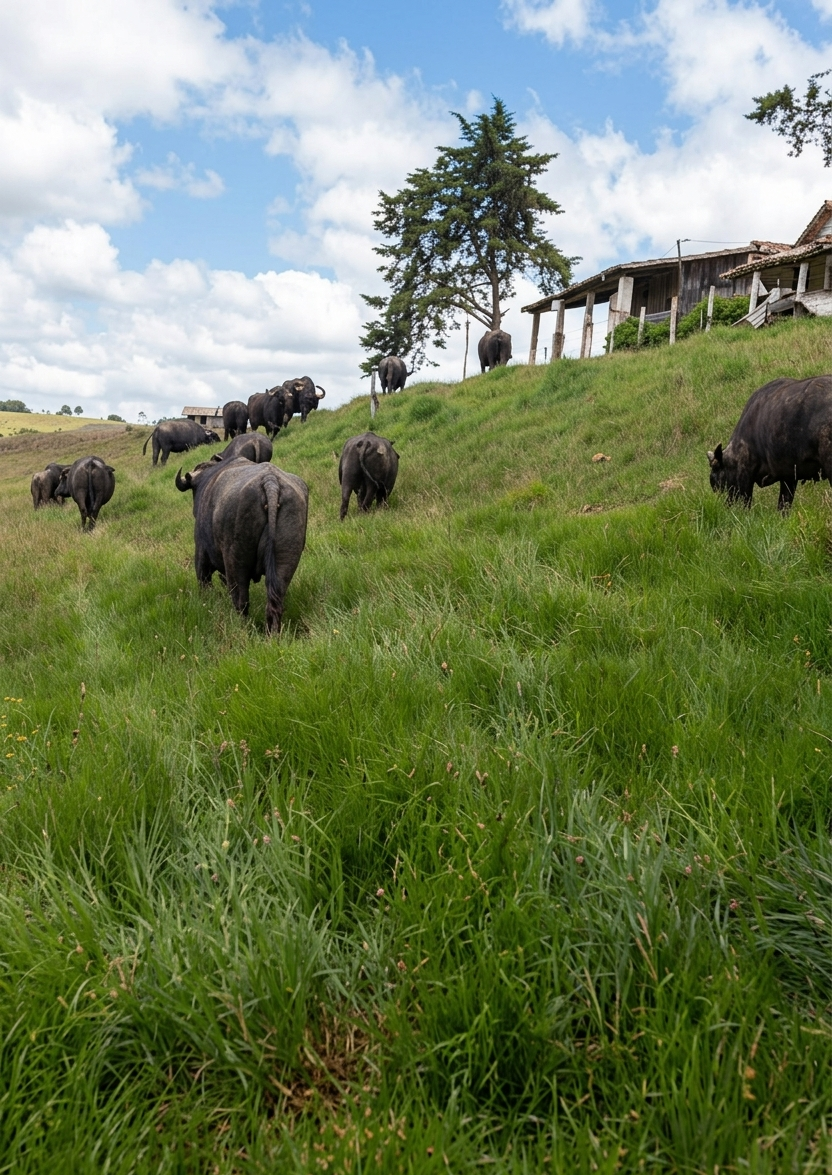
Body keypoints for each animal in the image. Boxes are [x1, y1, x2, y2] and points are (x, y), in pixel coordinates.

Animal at [175, 457, 308, 633]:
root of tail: (270, 481)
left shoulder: (202, 555)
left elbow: (204, 581)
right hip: (285, 561)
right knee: (275, 603)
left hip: (235, 562)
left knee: (240, 601)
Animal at [708, 375, 832, 510]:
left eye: (717, 475)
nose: (724, 506)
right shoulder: (788, 477)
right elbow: (783, 505)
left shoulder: (745, 476)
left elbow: (746, 502)